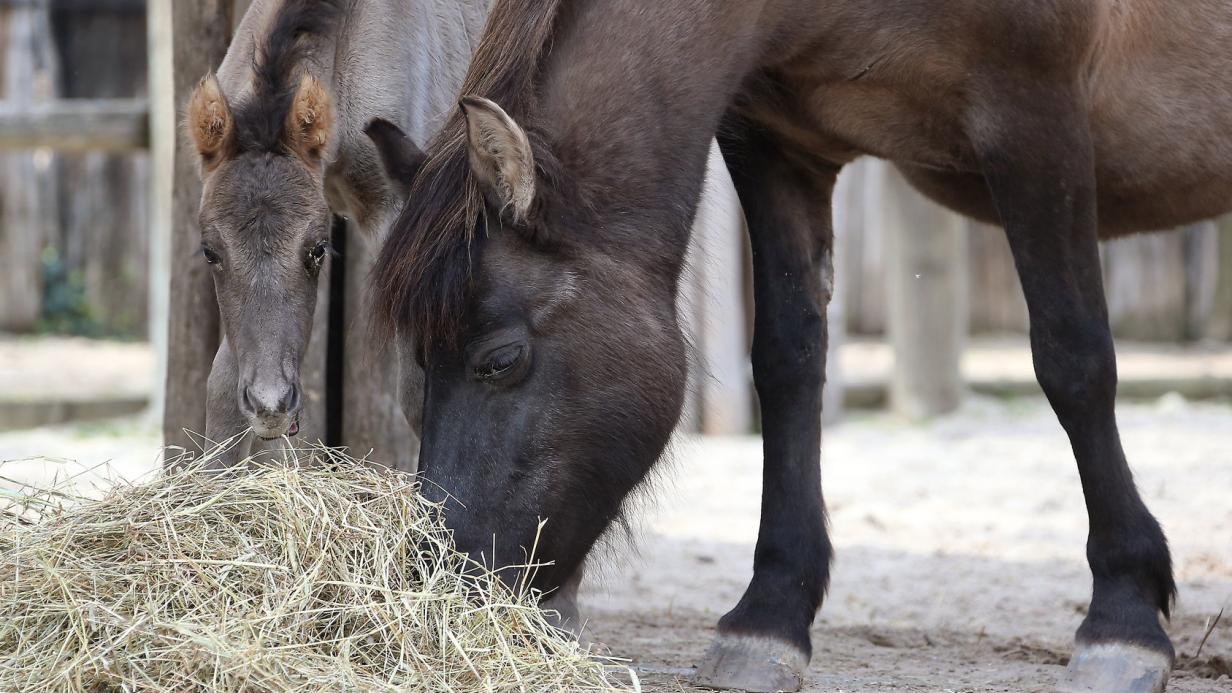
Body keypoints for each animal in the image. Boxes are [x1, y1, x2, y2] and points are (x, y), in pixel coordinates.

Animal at [179, 0, 482, 463]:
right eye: (210, 252)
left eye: (319, 250)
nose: (272, 405)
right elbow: (222, 388)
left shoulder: (404, 217)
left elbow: (418, 392)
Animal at [372, 1, 1232, 690]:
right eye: (418, 359)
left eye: (499, 359)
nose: (437, 582)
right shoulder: (773, 142)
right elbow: (786, 361)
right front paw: (770, 615)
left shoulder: (1036, 121)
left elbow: (1073, 359)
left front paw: (1123, 615)